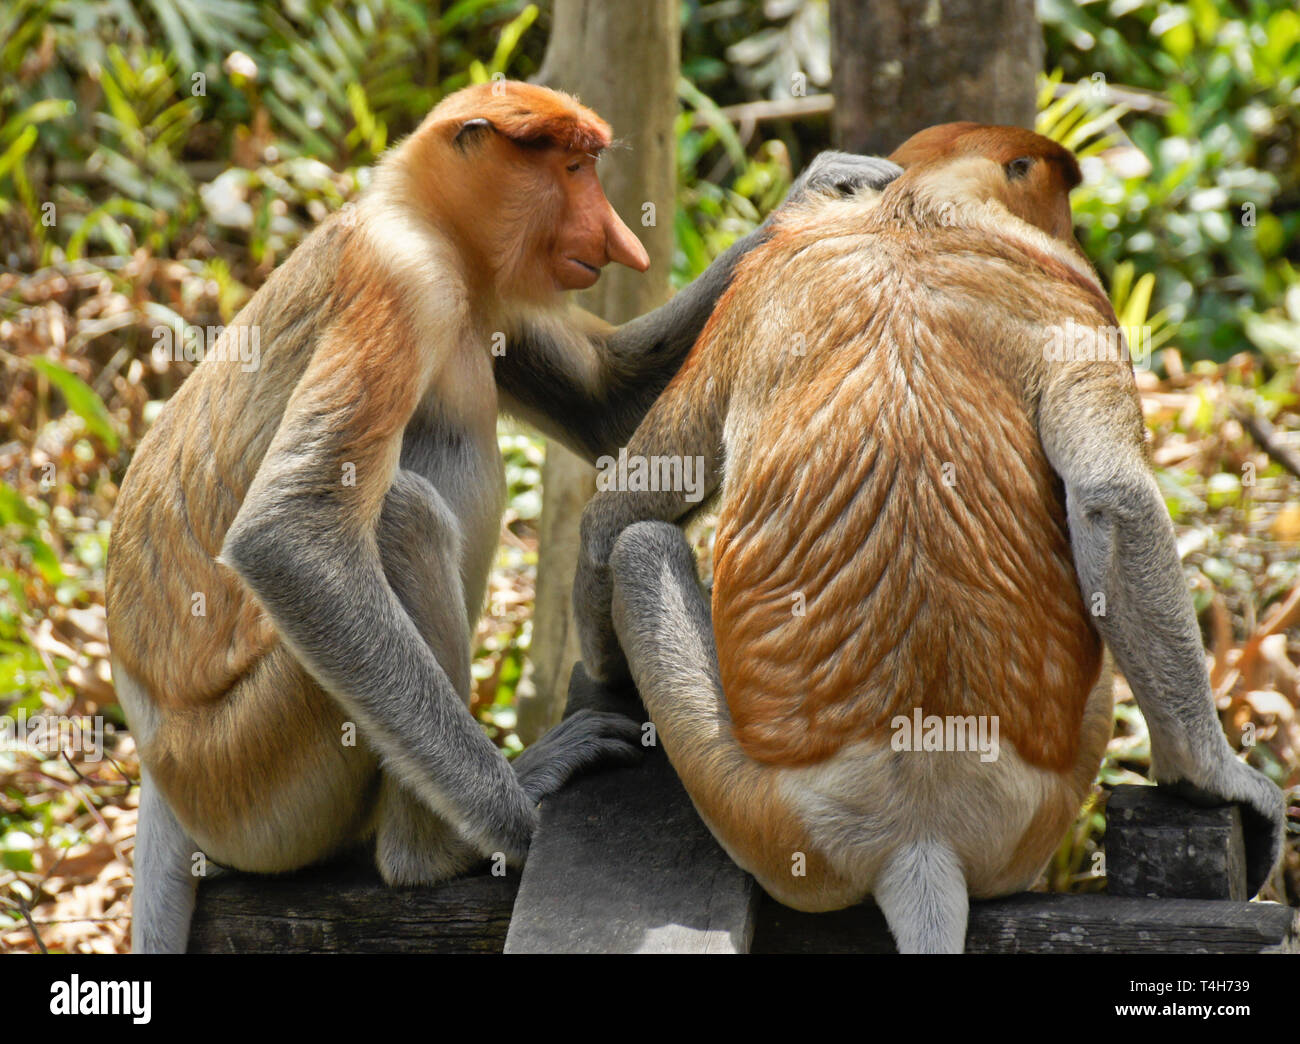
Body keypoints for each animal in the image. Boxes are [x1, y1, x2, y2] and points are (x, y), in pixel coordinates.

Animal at [106, 77, 899, 951]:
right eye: (572, 167)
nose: (621, 241)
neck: (427, 218)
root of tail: (158, 757)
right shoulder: (402, 276)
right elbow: (286, 534)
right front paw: (523, 816)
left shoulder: (495, 293)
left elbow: (604, 403)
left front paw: (826, 186)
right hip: (252, 774)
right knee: (403, 514)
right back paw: (433, 851)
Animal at [574, 122, 1284, 956]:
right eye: (1062, 194)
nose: (1074, 230)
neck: (916, 214)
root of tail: (918, 834)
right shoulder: (1080, 300)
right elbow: (1114, 499)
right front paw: (1219, 776)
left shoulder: (751, 290)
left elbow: (628, 500)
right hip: (979, 800)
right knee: (641, 546)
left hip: (757, 801)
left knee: (639, 543)